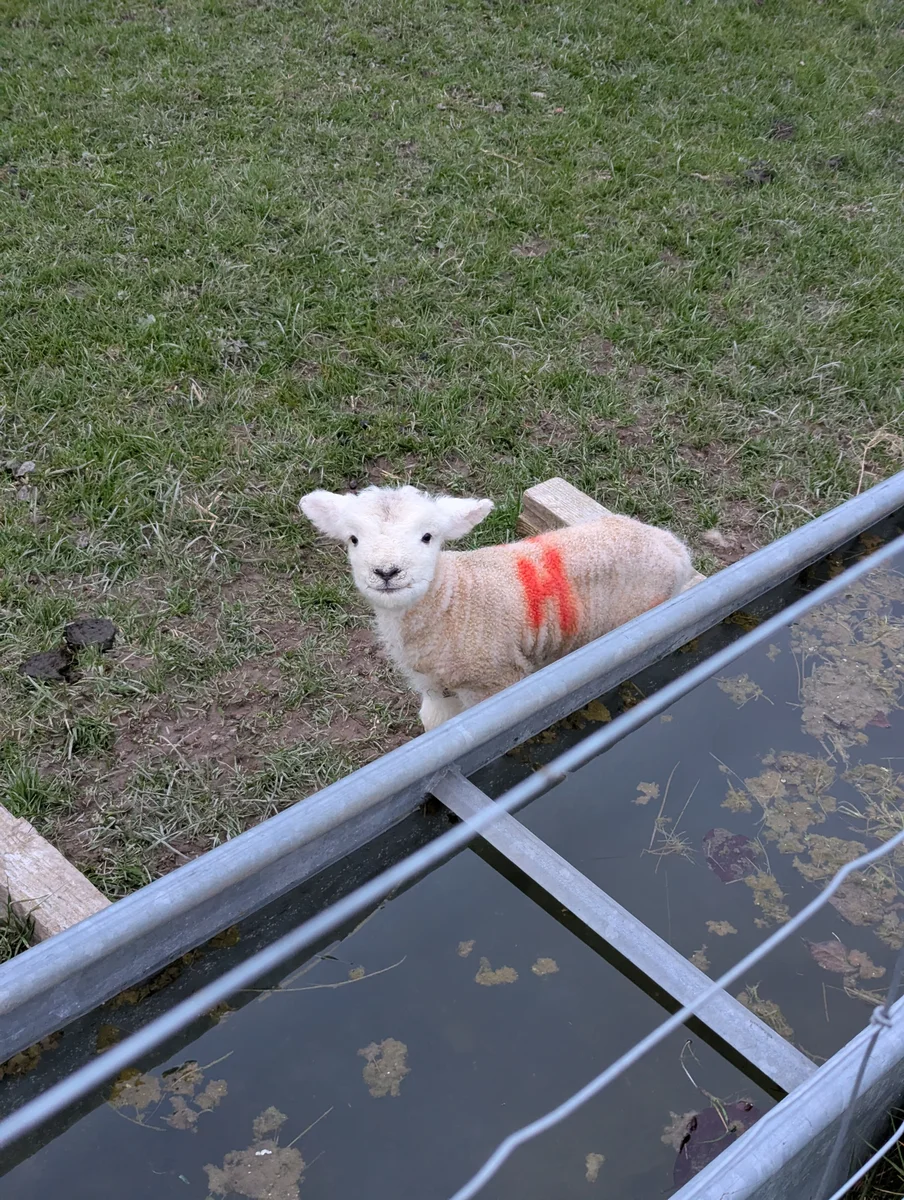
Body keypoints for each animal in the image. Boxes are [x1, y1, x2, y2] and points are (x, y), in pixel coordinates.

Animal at [299, 484, 695, 731]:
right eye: (353, 539)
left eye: (428, 536)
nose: (386, 572)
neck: (453, 599)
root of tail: (674, 546)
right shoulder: (433, 684)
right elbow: (435, 724)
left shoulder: (494, 681)